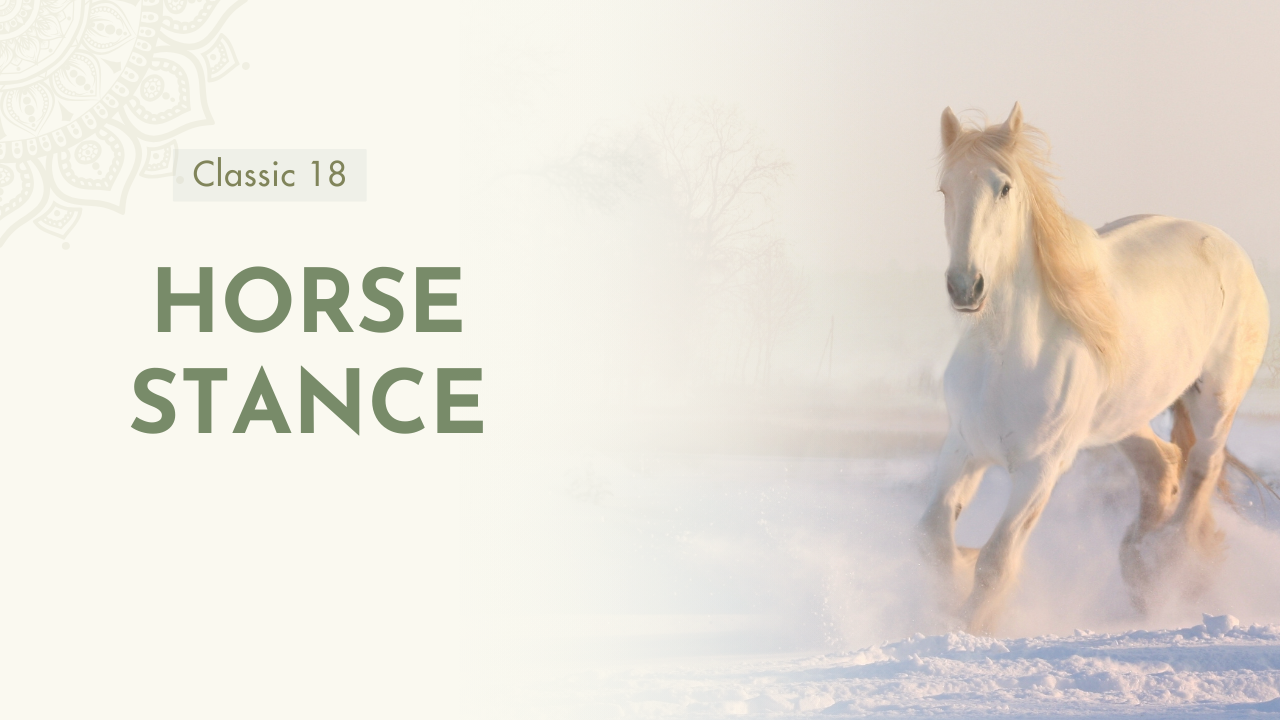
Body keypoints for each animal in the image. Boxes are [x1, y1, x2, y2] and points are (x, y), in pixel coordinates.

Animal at [915, 103, 1271, 634]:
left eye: (1004, 187)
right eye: (945, 189)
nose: (965, 286)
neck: (1005, 357)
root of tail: (1230, 248)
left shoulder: (1041, 468)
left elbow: (996, 561)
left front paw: (971, 624)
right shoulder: (963, 447)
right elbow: (933, 541)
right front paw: (952, 590)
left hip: (1215, 399)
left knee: (1201, 470)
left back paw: (1168, 566)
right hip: (1123, 417)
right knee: (1162, 465)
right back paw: (1140, 568)